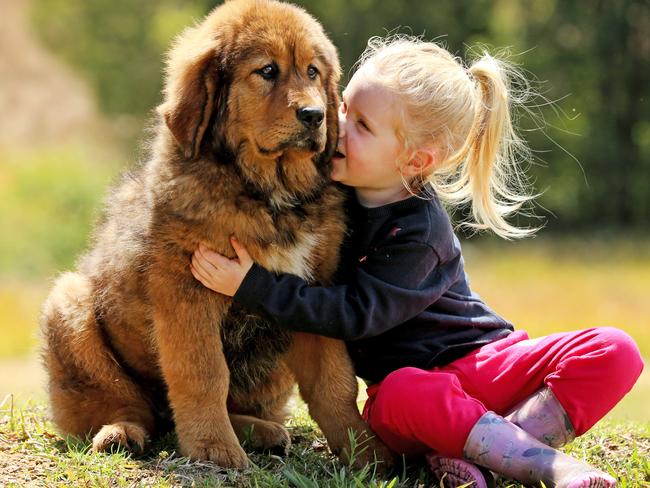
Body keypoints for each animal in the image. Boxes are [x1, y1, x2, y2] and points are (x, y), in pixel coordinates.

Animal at [43, 0, 392, 470]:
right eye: (267, 71)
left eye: (313, 72)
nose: (315, 116)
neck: (269, 196)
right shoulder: (186, 290)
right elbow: (204, 373)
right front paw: (213, 449)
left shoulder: (319, 287)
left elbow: (334, 382)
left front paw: (367, 451)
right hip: (71, 305)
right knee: (127, 404)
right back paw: (121, 433)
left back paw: (262, 432)